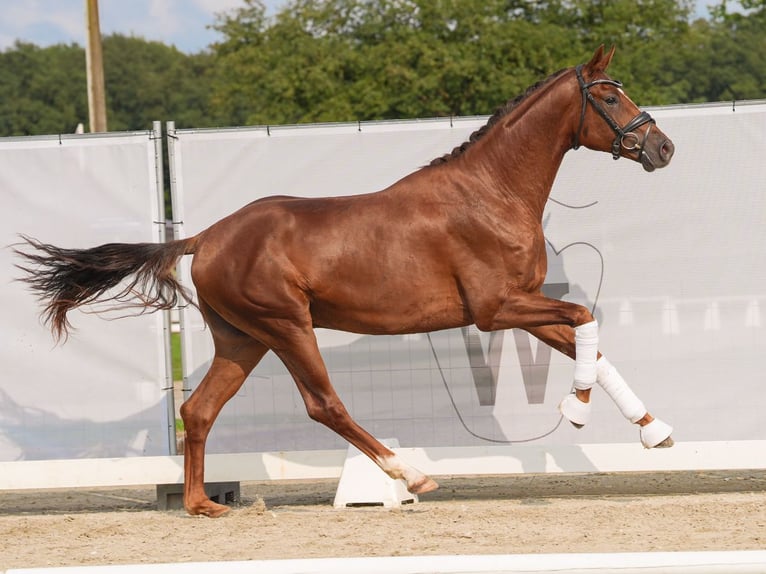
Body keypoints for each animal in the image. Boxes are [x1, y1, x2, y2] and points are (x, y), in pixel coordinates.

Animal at [16, 47, 680, 520]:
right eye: (609, 96)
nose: (663, 147)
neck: (491, 193)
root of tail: (206, 237)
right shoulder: (497, 309)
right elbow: (585, 320)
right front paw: (576, 410)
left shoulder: (522, 308)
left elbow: (591, 343)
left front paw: (655, 432)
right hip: (287, 327)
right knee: (324, 404)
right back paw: (408, 476)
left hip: (242, 339)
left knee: (199, 410)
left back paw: (203, 505)